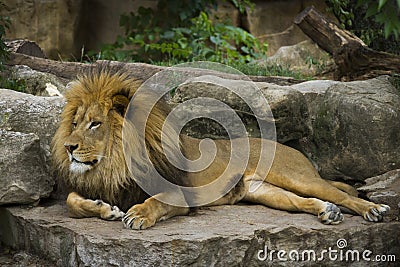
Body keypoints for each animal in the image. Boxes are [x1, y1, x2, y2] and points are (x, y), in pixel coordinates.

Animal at [50, 68, 390, 230]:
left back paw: (373, 210)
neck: (115, 163)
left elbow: (155, 202)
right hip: (266, 192)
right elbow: (71, 200)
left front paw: (138, 214)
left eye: (95, 124)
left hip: (298, 177)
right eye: (75, 123)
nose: (68, 147)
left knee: (344, 195)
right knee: (302, 202)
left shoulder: (180, 194)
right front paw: (103, 209)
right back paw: (326, 212)